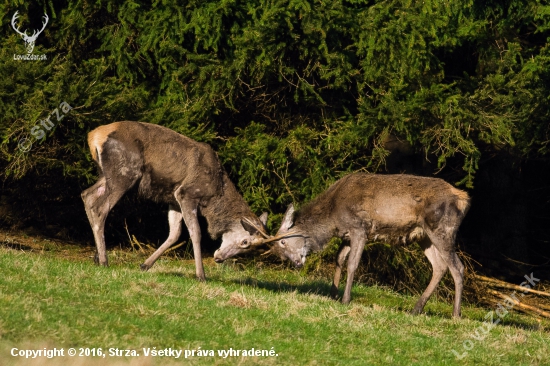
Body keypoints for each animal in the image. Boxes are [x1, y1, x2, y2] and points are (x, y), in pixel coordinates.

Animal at [82, 121, 272, 282]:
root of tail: (94, 136)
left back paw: (97, 257)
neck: (214, 194)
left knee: (87, 195)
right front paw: (201, 275)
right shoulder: (187, 194)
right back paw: (104, 260)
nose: (218, 258)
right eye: (245, 242)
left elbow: (174, 234)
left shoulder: (173, 199)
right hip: (125, 173)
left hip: (106, 175)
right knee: (100, 208)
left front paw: (145, 265)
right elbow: (195, 232)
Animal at [242, 173, 470, 316]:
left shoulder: (360, 228)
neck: (332, 217)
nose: (297, 263)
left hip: (442, 229)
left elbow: (352, 264)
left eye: (282, 242)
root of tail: (463, 199)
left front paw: (345, 298)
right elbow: (339, 260)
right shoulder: (346, 235)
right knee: (439, 266)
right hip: (424, 236)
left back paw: (455, 314)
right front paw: (332, 294)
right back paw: (416, 309)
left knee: (457, 267)